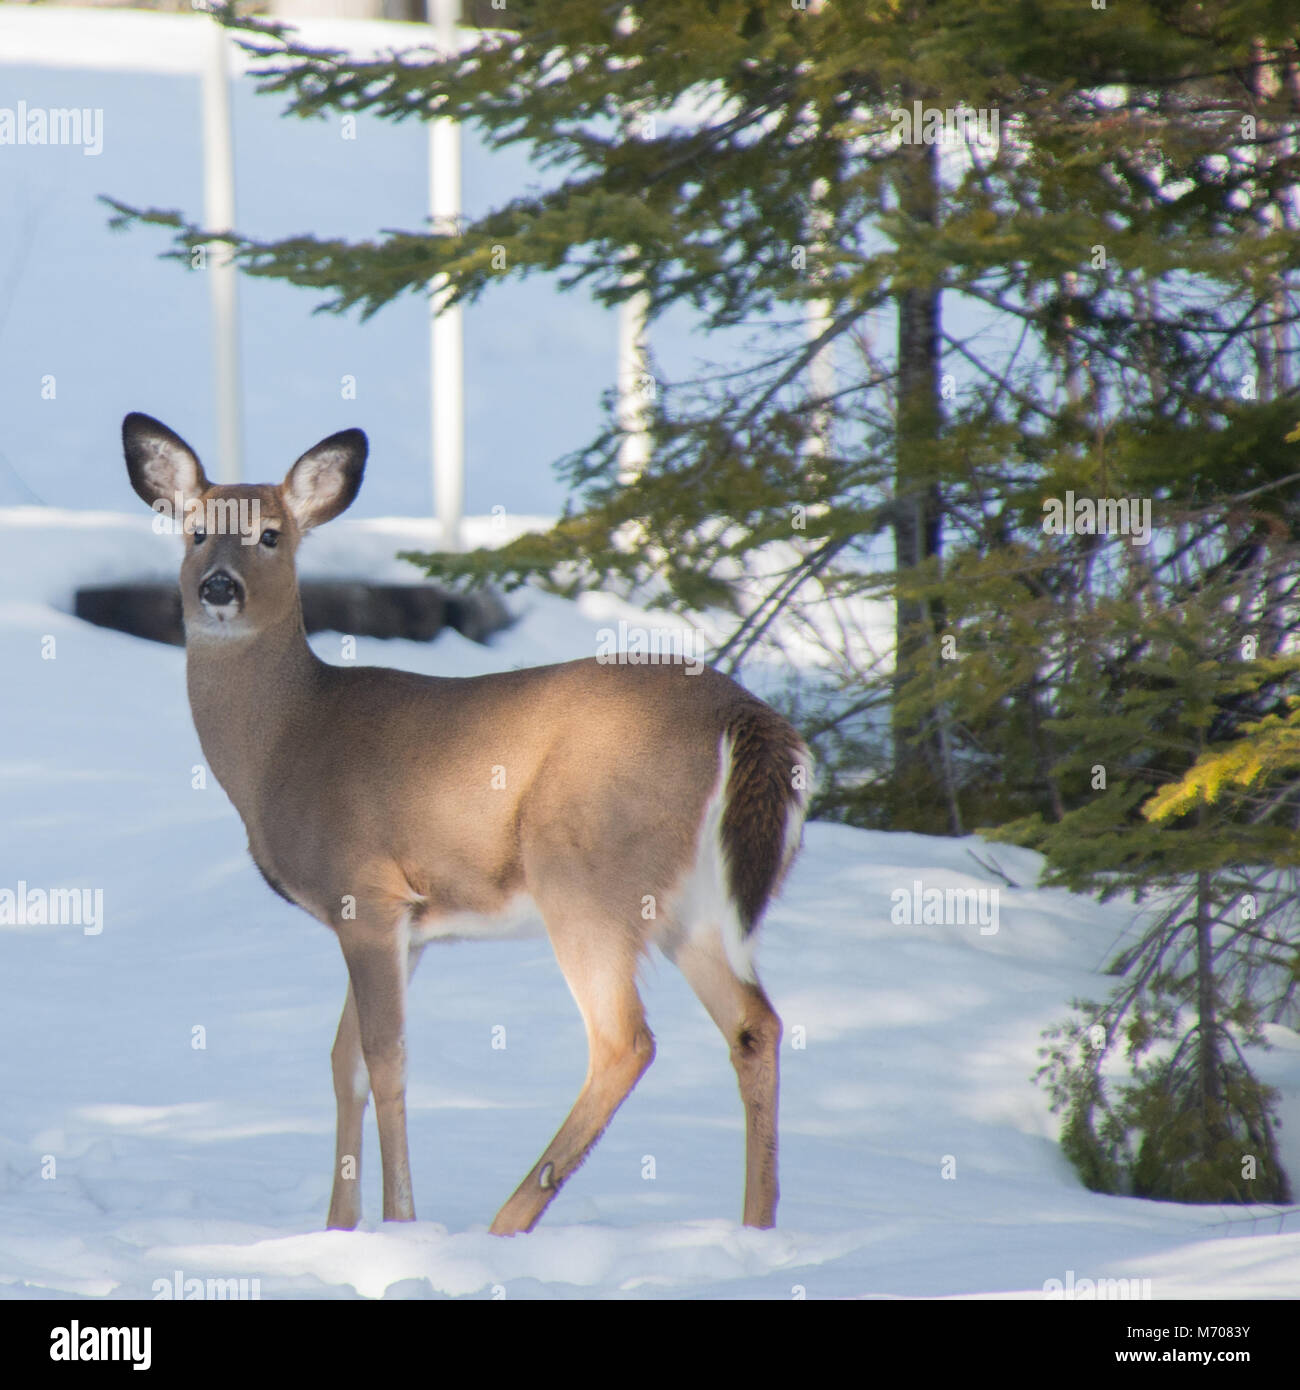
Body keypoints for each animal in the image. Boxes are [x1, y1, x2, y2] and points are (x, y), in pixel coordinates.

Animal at [120, 412, 811, 1235]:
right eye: (195, 530)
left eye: (270, 535)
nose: (219, 587)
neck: (285, 741)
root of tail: (746, 717)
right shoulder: (406, 927)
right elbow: (343, 1063)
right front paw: (337, 1228)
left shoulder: (369, 892)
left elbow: (385, 1059)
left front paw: (399, 1224)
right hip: (693, 907)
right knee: (755, 1024)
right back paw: (758, 1226)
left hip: (584, 870)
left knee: (625, 1041)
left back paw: (508, 1222)